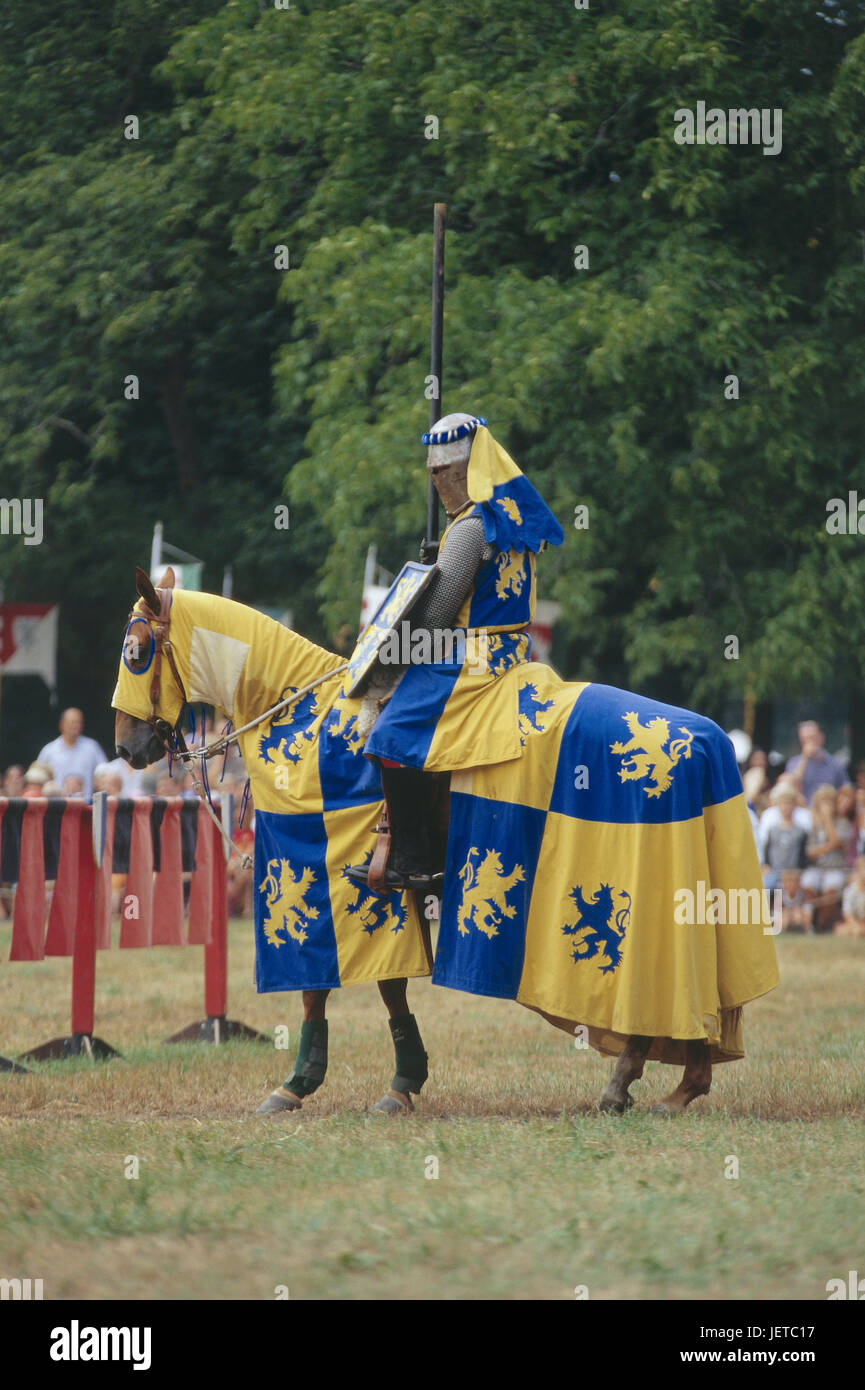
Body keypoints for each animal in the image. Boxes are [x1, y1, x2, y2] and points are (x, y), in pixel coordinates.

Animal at [111, 564, 784, 1117]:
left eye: (137, 651)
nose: (126, 747)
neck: (304, 722)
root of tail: (705, 741)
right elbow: (362, 990)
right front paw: (386, 1079)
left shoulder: (343, 881)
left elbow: (333, 989)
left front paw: (323, 1083)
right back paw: (682, 1085)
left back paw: (626, 1082)